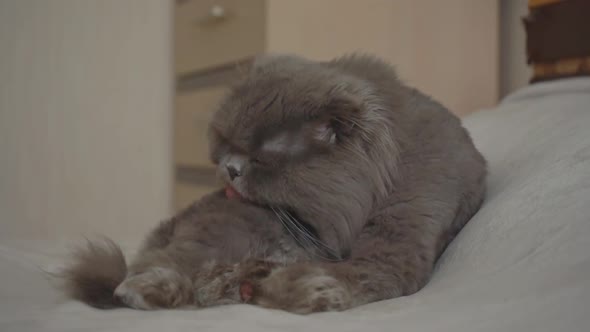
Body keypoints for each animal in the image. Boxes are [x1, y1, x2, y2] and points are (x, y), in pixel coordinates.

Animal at [60, 53, 488, 312]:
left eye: (260, 159)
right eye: (225, 144)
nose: (229, 168)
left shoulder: (402, 233)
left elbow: (359, 273)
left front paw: (300, 290)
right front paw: (297, 290)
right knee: (155, 267)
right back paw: (150, 291)